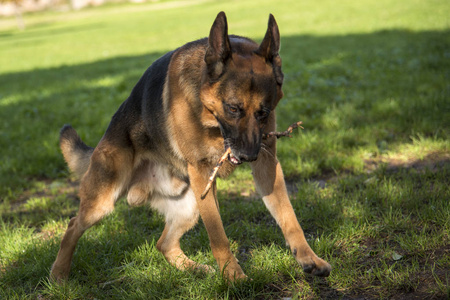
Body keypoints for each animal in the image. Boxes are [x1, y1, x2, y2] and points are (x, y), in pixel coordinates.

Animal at [51, 11, 330, 282]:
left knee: (164, 244)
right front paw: (233, 276)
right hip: (105, 200)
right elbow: (218, 235)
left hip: (190, 206)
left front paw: (309, 258)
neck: (209, 118)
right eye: (233, 109)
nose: (248, 156)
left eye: (264, 112)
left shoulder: (267, 163)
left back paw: (195, 269)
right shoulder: (202, 171)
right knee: (73, 225)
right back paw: (59, 275)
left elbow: (289, 217)